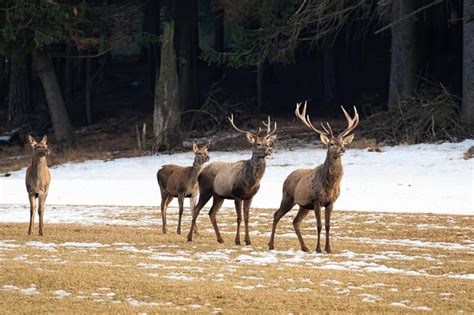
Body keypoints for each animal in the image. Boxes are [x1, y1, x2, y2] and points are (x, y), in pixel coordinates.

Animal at [186, 115, 278, 246]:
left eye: (268, 142)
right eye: (258, 143)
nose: (269, 150)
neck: (251, 181)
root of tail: (200, 173)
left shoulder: (249, 197)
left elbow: (247, 218)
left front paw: (248, 241)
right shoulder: (237, 195)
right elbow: (239, 218)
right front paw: (238, 240)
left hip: (219, 195)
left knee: (211, 213)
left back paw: (220, 238)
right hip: (205, 190)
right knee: (197, 209)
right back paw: (189, 237)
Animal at [268, 103, 358, 254]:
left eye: (342, 142)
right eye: (331, 143)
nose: (343, 149)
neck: (329, 185)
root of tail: (287, 177)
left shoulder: (331, 202)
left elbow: (328, 225)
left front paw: (328, 249)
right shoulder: (317, 200)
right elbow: (319, 225)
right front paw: (319, 249)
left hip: (303, 206)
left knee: (295, 221)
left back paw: (304, 247)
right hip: (287, 198)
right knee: (276, 215)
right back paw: (271, 245)